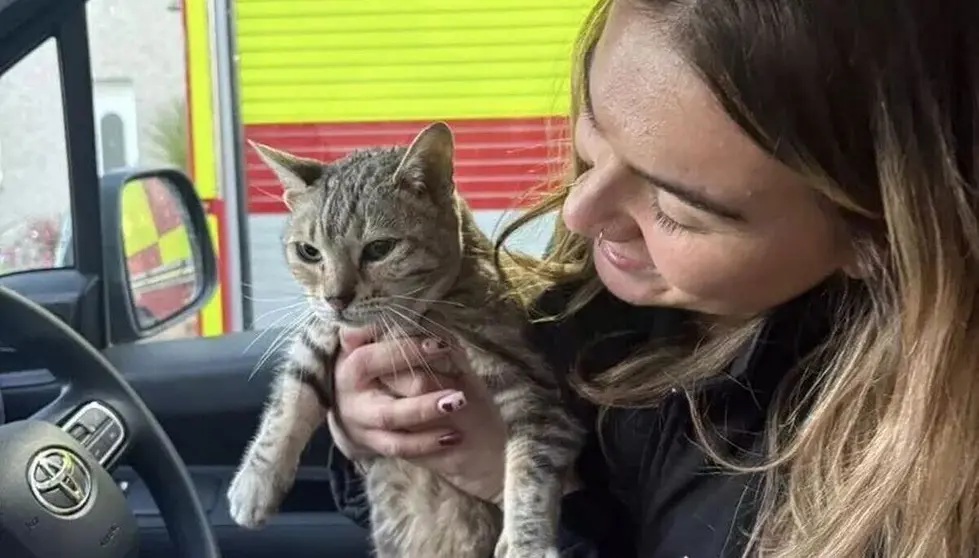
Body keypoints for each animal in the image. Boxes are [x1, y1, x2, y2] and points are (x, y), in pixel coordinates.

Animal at [226, 123, 584, 558]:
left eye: (379, 248)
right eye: (309, 252)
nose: (335, 297)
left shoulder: (535, 390)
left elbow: (531, 470)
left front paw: (526, 542)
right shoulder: (320, 329)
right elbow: (291, 397)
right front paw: (256, 481)